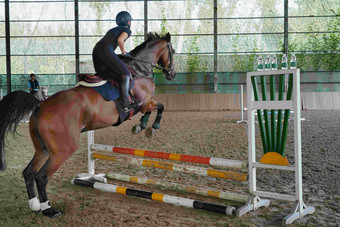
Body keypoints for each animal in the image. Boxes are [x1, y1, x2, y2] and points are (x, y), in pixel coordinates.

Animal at [0, 31, 177, 218]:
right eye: (172, 50)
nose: (172, 74)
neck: (139, 70)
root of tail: (41, 105)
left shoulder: (145, 104)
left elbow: (152, 110)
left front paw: (141, 126)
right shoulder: (144, 103)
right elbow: (160, 107)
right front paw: (151, 127)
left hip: (43, 149)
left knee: (28, 172)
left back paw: (34, 206)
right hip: (63, 149)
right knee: (41, 177)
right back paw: (49, 210)